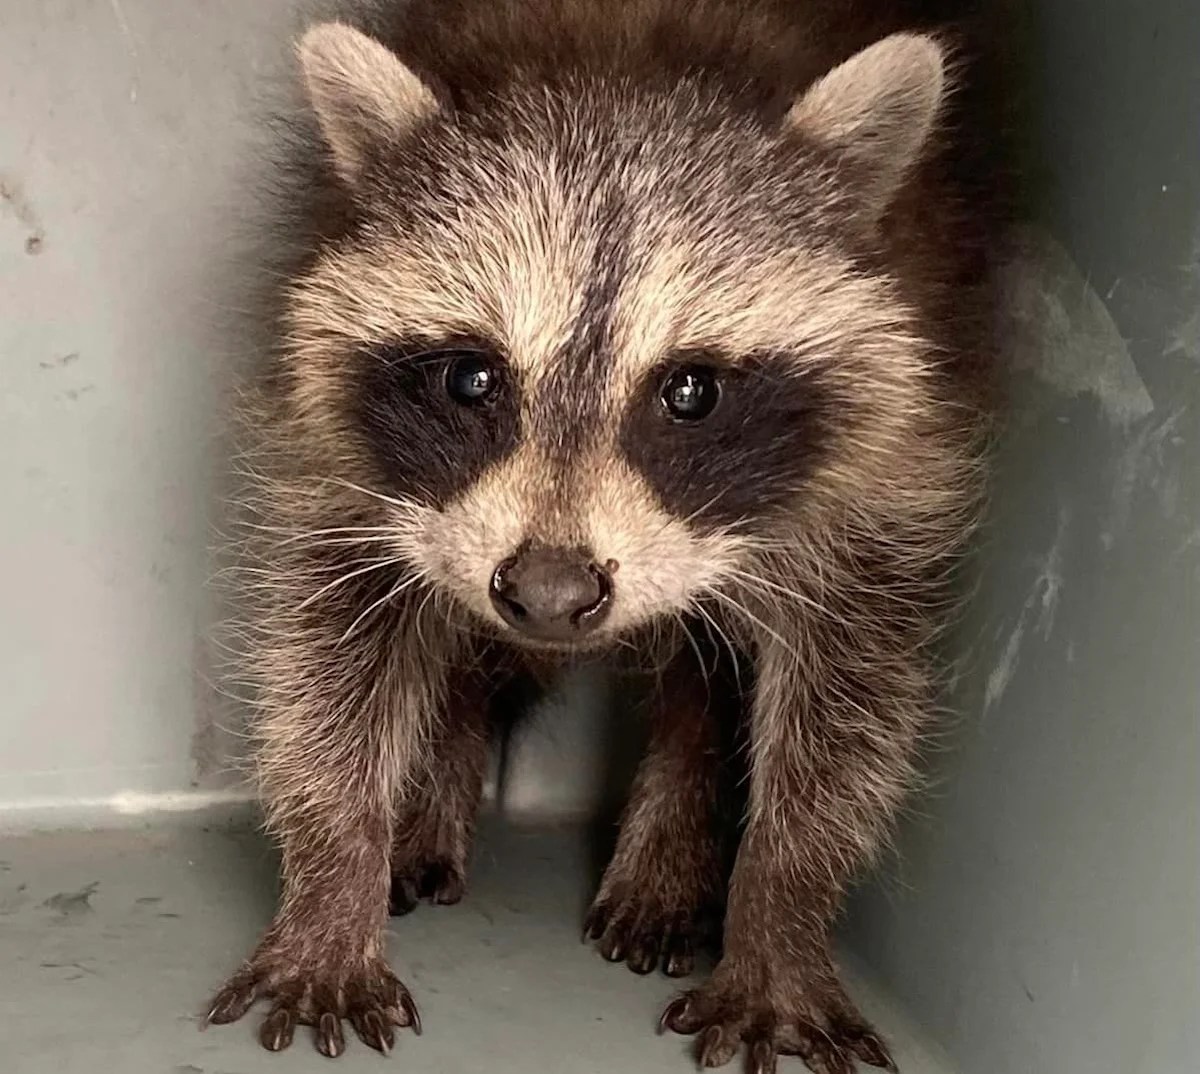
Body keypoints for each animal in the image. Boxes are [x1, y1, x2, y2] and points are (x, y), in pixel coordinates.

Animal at [207, 1, 1001, 1069]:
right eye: (472, 378)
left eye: (692, 391)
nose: (547, 595)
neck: (620, 59)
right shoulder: (338, 462)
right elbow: (329, 664)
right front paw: (334, 872)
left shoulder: (890, 478)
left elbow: (846, 710)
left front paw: (784, 907)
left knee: (701, 680)